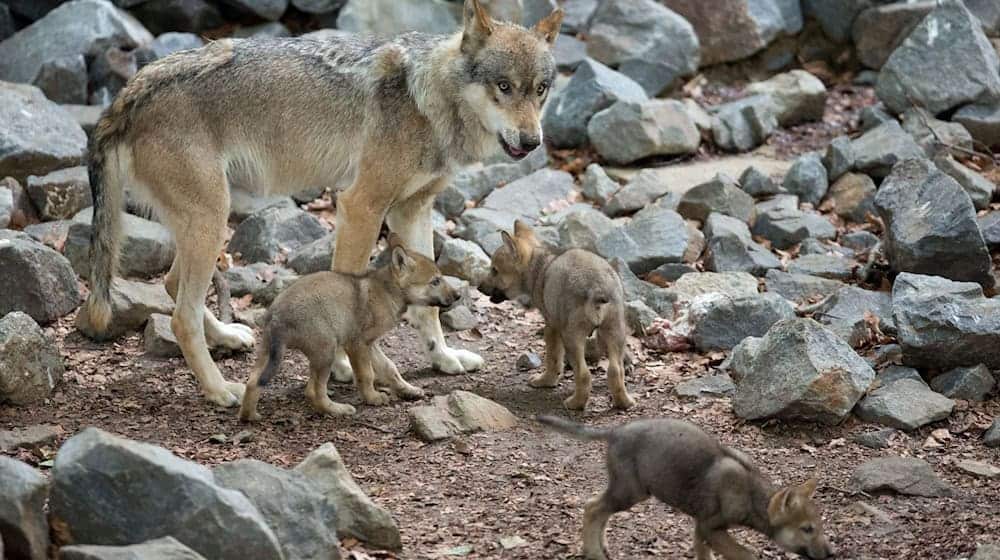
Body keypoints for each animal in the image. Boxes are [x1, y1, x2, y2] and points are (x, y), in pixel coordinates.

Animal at [82, 0, 568, 404]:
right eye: (503, 86)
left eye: (541, 89)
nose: (532, 142)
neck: (429, 99)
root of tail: (131, 90)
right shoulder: (361, 206)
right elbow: (347, 292)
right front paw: (342, 367)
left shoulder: (413, 209)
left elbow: (428, 308)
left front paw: (443, 360)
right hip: (211, 220)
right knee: (181, 316)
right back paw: (221, 391)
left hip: (207, 221)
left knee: (171, 285)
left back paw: (228, 338)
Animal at [540, 414, 836, 560]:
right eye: (807, 529)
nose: (831, 554)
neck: (751, 493)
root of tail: (615, 431)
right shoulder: (710, 527)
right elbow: (748, 555)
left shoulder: (700, 528)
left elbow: (704, 556)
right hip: (630, 491)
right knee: (592, 508)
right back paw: (594, 553)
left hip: (627, 490)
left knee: (598, 510)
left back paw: (601, 547)